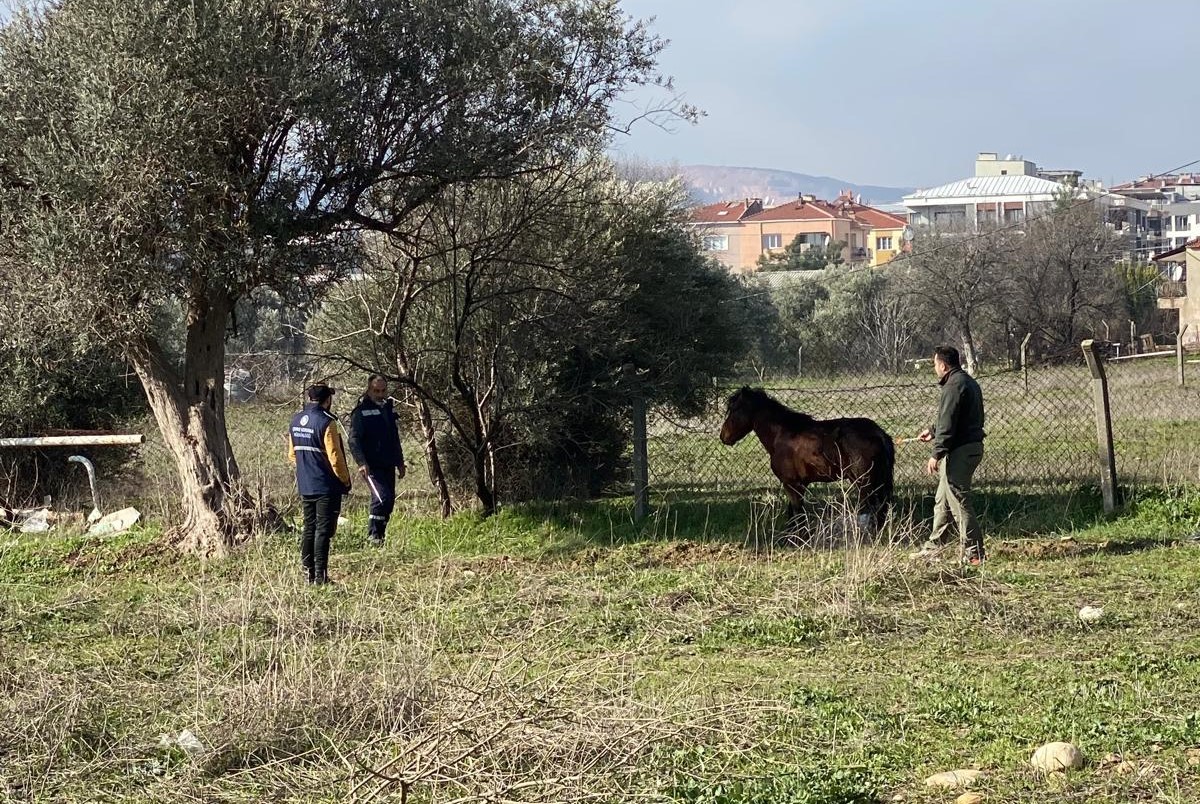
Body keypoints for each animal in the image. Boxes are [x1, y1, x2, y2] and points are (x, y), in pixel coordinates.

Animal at [715, 388, 897, 535]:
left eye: (734, 409)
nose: (724, 436)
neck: (782, 434)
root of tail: (878, 433)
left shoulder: (792, 485)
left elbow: (797, 514)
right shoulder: (799, 485)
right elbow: (795, 514)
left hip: (865, 483)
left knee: (875, 509)